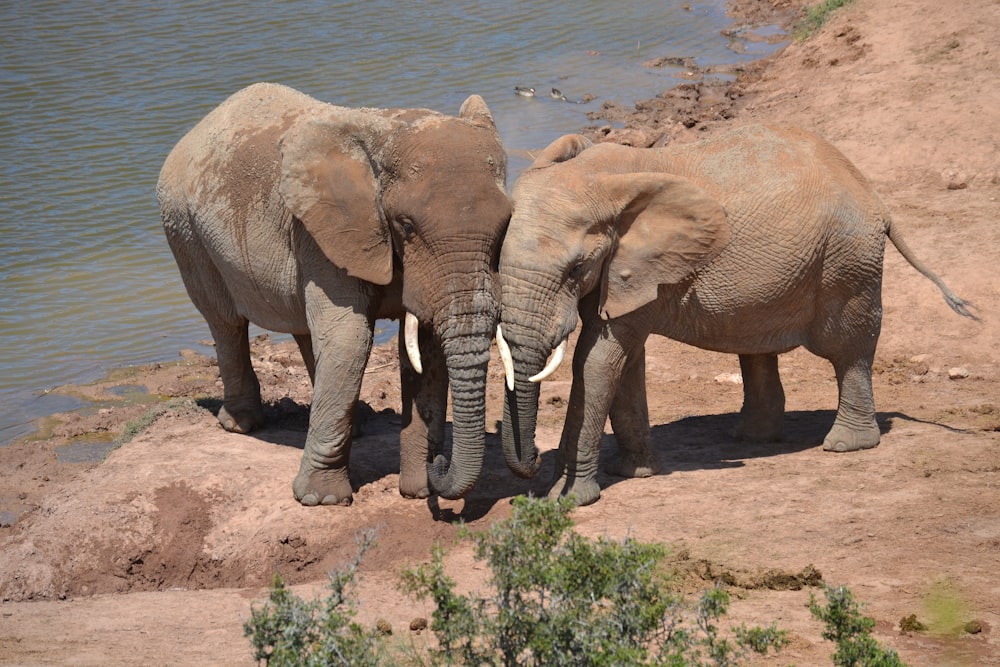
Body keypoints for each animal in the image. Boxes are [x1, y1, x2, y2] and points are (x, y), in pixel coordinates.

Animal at [161, 82, 516, 506]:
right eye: (406, 225)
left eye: (506, 223)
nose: (440, 464)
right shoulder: (323, 231)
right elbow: (351, 339)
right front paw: (322, 501)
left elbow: (424, 347)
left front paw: (415, 490)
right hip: (184, 230)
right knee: (225, 321)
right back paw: (241, 425)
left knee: (304, 328)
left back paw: (355, 424)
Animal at [496, 124, 980, 506]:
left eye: (575, 269)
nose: (533, 462)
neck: (597, 175)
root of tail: (873, 195)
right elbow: (624, 361)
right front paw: (633, 473)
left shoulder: (641, 265)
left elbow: (596, 361)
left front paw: (566, 499)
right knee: (757, 347)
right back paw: (752, 438)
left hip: (847, 259)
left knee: (848, 350)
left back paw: (845, 445)